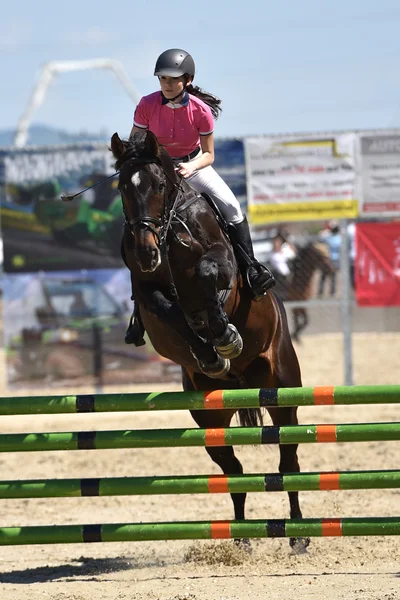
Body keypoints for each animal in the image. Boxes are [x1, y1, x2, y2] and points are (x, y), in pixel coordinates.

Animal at [111, 131, 308, 552]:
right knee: (233, 471)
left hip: (282, 390)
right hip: (209, 418)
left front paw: (224, 334)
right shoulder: (148, 292)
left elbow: (208, 278)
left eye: (159, 185)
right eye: (122, 187)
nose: (145, 251)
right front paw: (210, 350)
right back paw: (241, 538)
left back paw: (299, 535)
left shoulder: (221, 266)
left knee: (288, 461)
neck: (169, 235)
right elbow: (171, 310)